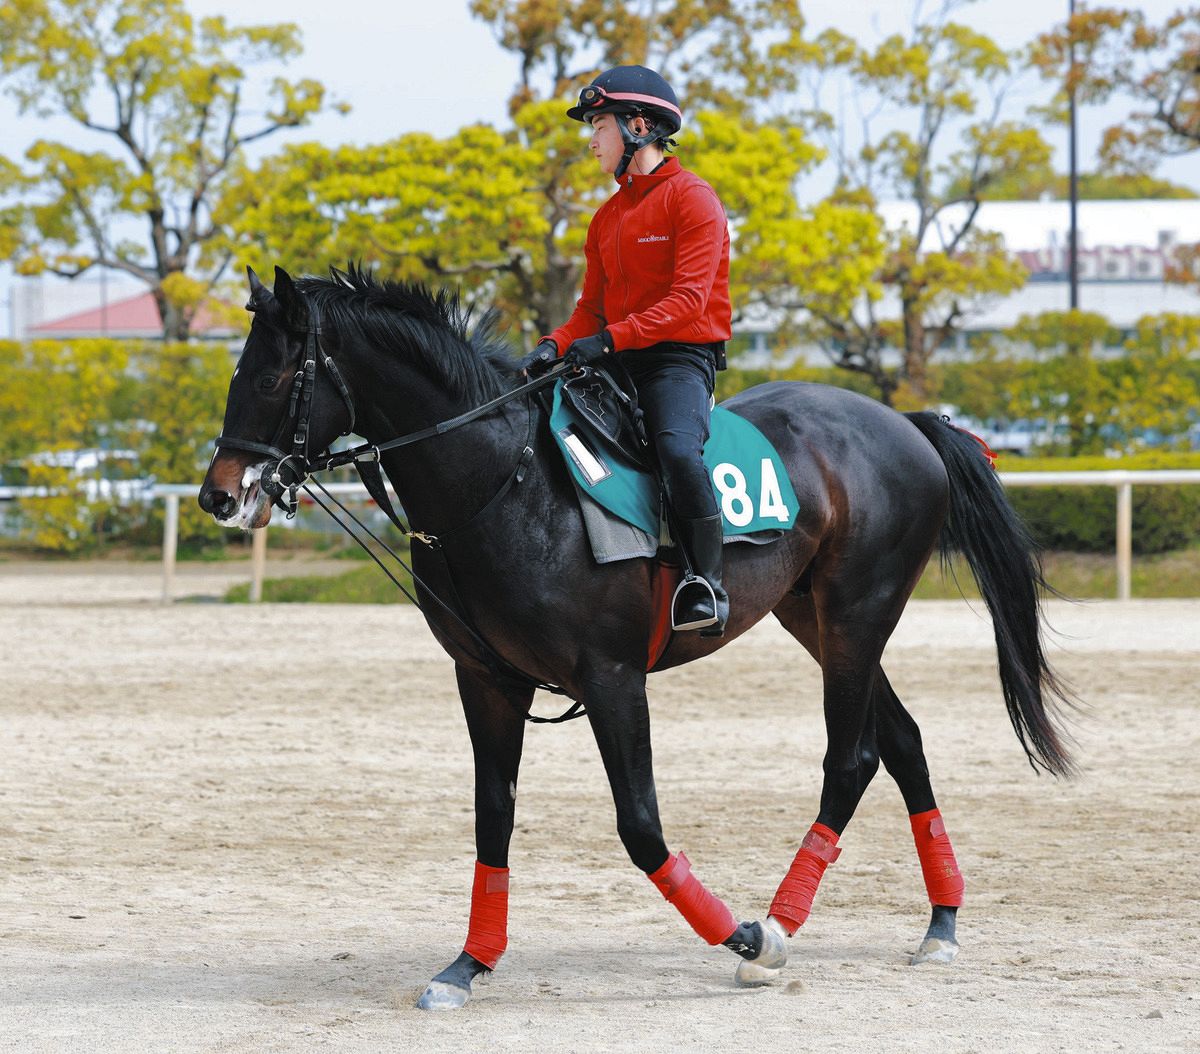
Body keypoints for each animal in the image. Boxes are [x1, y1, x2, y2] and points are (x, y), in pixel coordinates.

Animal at [199, 265, 1073, 1010]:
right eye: (236, 372)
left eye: (272, 378)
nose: (218, 495)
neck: (508, 482)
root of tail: (908, 425)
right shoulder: (486, 680)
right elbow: (493, 815)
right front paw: (469, 964)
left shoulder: (613, 678)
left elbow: (641, 828)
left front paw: (746, 938)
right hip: (816, 619)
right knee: (903, 741)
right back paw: (940, 924)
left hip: (859, 613)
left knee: (852, 757)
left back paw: (781, 923)